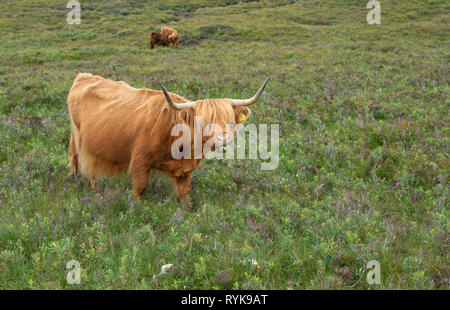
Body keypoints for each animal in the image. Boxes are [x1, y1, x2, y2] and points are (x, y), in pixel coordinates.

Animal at [67, 73, 270, 208]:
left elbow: (185, 193)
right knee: (78, 160)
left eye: (229, 119)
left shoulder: (184, 171)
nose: (222, 137)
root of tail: (84, 77)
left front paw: (188, 210)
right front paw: (138, 208)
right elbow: (140, 188)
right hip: (79, 138)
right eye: (203, 121)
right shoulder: (140, 162)